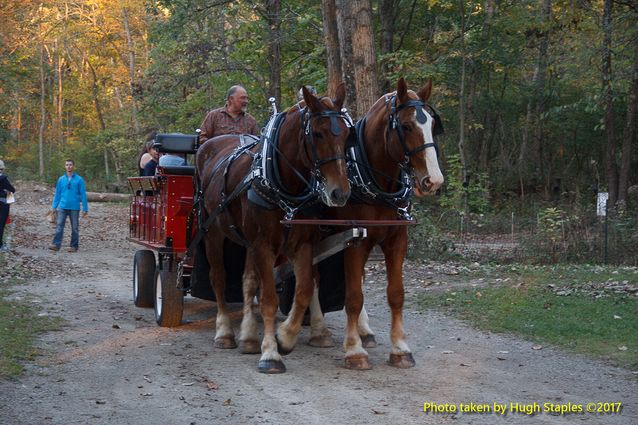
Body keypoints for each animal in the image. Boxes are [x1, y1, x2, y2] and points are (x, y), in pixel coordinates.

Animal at [196, 84, 352, 372]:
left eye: (347, 134)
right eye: (317, 133)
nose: (340, 193)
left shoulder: (301, 244)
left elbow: (303, 290)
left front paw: (285, 338)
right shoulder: (263, 245)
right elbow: (269, 299)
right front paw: (270, 354)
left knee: (247, 281)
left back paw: (247, 338)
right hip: (212, 232)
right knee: (219, 278)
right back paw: (224, 333)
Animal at [308, 78, 442, 370]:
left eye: (432, 125)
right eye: (406, 126)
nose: (433, 181)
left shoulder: (396, 240)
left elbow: (395, 293)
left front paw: (400, 348)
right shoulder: (354, 242)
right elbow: (353, 297)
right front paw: (354, 351)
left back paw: (364, 331)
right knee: (312, 276)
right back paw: (319, 330)